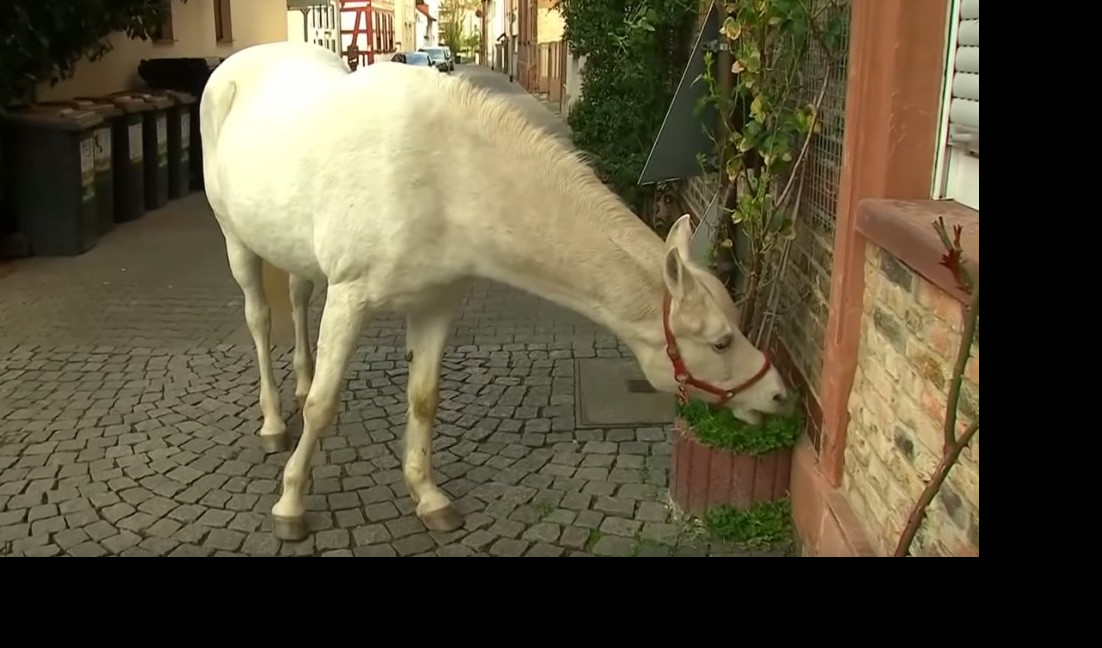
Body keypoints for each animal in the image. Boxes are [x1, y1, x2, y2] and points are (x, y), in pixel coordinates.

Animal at [202, 41, 793, 542]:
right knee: (260, 321)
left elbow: (423, 399)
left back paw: (299, 385)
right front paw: (290, 504)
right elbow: (325, 406)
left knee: (299, 298)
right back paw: (275, 422)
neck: (444, 175)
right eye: (720, 342)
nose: (777, 397)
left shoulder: (438, 302)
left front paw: (428, 496)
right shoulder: (351, 300)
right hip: (236, 242)